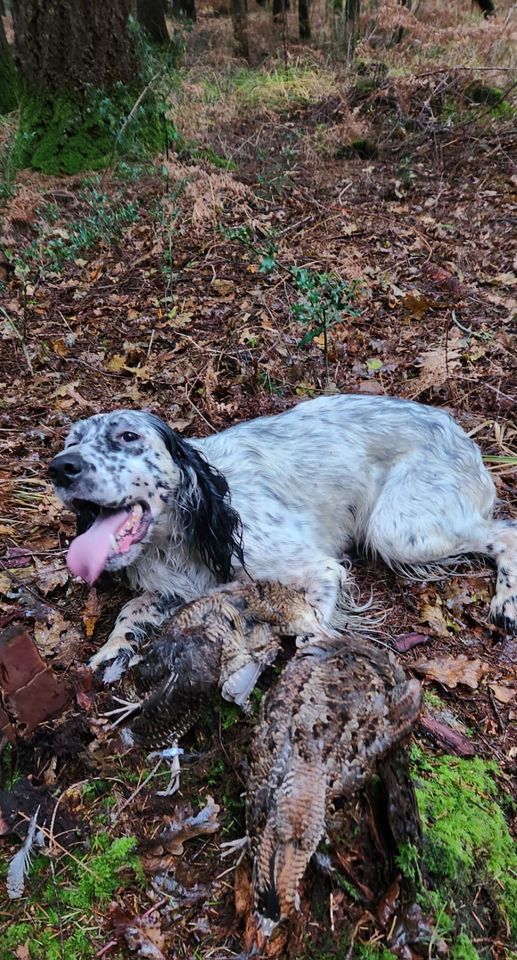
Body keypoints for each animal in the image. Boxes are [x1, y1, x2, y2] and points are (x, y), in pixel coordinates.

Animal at [49, 390, 516, 676]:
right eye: (72, 441)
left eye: (128, 436)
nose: (60, 467)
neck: (183, 539)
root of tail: (458, 430)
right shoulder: (177, 588)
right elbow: (132, 612)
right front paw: (111, 651)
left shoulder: (318, 567)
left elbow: (310, 615)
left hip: (396, 529)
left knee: (505, 532)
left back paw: (507, 603)